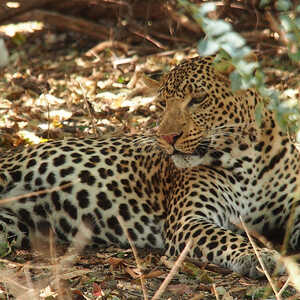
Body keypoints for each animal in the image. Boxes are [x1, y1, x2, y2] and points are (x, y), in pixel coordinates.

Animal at [0, 56, 300, 278]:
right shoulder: (188, 220)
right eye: (162, 104)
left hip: (13, 226)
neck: (247, 157)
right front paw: (259, 255)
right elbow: (228, 238)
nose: (167, 138)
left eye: (199, 99)